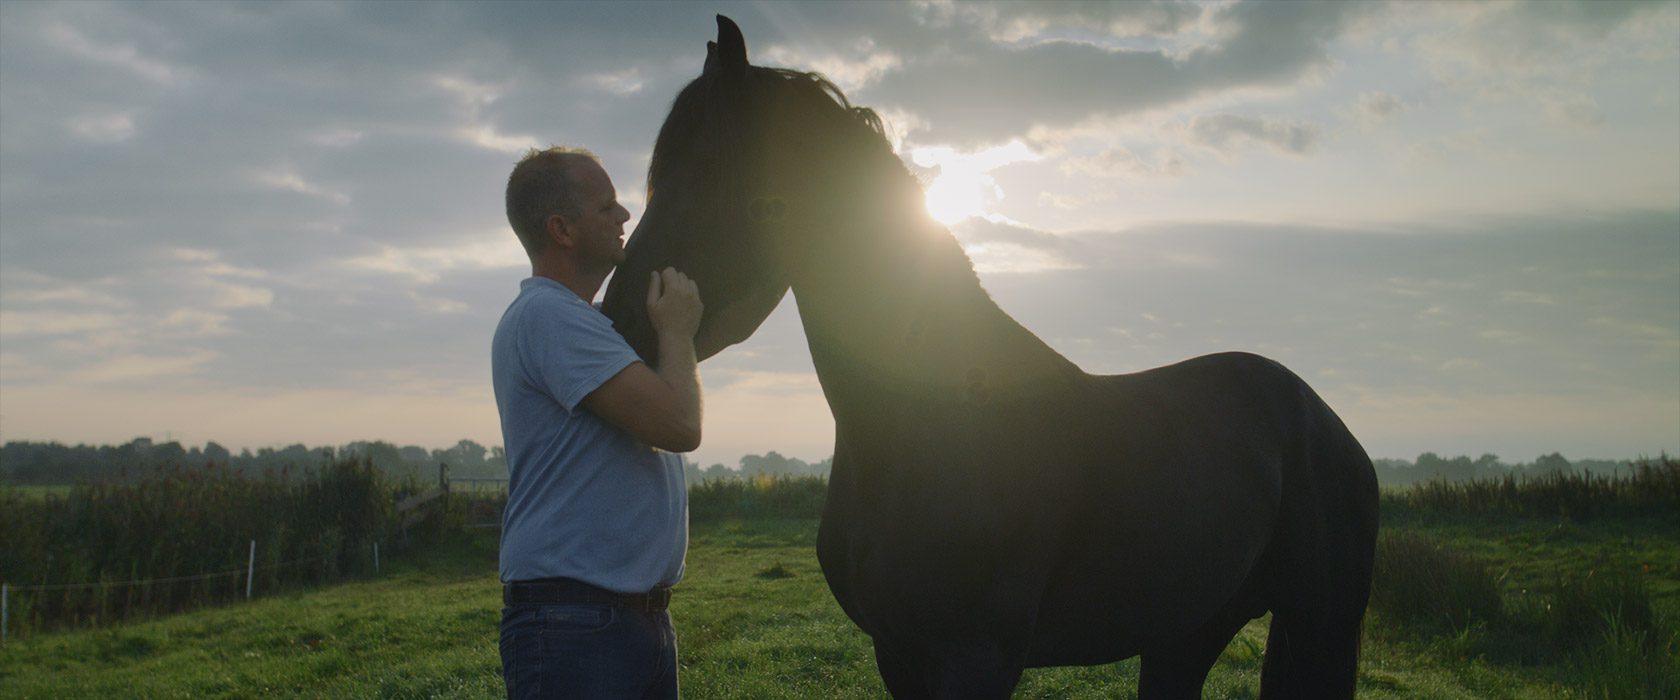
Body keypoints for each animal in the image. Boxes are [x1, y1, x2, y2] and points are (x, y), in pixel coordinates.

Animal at [604, 16, 1377, 698]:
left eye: (709, 174)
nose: (620, 321)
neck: (931, 422)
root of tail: (1319, 416)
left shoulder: (975, 658)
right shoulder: (897, 654)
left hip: (1321, 623)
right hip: (1186, 632)